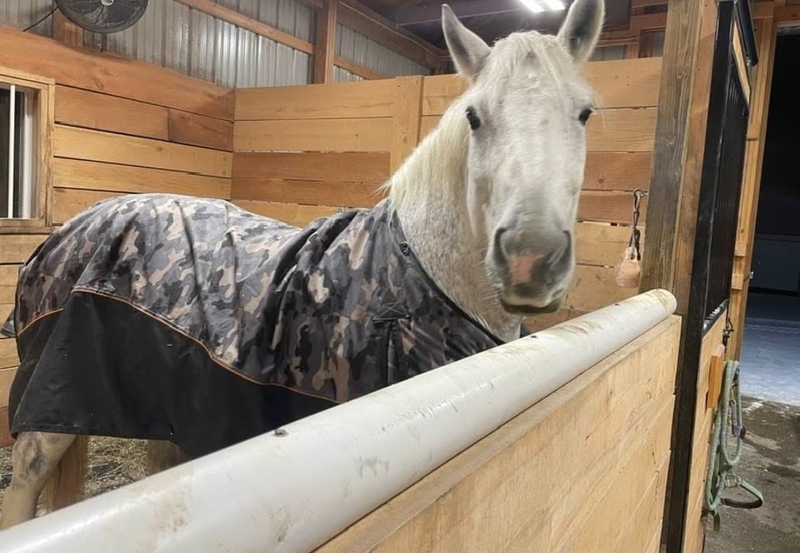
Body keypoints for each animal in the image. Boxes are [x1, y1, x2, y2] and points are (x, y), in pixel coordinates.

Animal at [0, 0, 604, 530]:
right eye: (475, 117)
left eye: (585, 112)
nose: (530, 259)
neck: (420, 277)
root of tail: (74, 226)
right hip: (54, 403)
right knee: (27, 474)